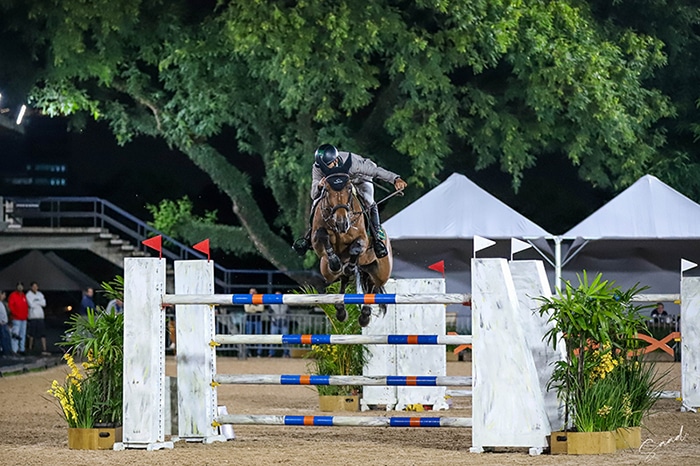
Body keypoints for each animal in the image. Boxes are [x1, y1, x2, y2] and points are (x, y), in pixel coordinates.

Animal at [312, 155, 394, 326]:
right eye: (326, 189)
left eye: (349, 188)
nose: (342, 223)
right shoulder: (317, 242)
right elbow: (322, 235)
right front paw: (336, 262)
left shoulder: (362, 239)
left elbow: (356, 247)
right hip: (327, 271)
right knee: (344, 279)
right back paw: (341, 310)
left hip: (381, 272)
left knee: (373, 285)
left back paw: (365, 315)